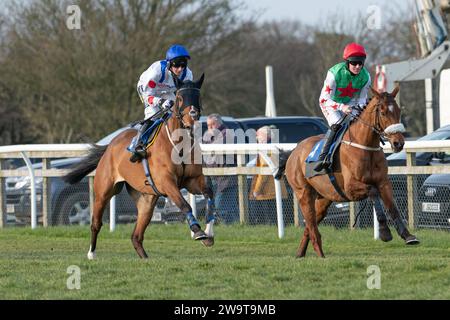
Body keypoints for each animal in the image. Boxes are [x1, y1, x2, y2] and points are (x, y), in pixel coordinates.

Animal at [64, 74, 216, 258]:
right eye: (180, 97)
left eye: (197, 96)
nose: (192, 116)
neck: (179, 145)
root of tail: (110, 145)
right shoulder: (167, 182)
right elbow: (184, 204)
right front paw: (197, 231)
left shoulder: (193, 180)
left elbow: (209, 195)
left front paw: (208, 234)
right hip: (104, 191)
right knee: (96, 223)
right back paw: (91, 253)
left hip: (146, 200)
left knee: (136, 235)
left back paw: (145, 258)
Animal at [276, 86, 420, 258]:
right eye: (383, 112)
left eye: (398, 111)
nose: (398, 143)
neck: (365, 147)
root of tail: (294, 151)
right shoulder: (350, 188)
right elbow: (373, 192)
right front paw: (385, 232)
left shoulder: (383, 182)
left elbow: (392, 206)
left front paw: (408, 235)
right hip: (303, 193)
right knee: (311, 225)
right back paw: (320, 255)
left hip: (324, 198)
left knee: (309, 226)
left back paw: (300, 253)